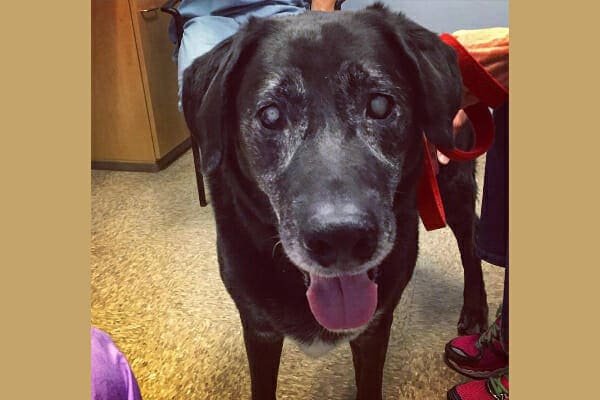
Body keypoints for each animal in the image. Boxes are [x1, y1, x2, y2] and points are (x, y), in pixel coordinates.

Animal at [182, 3, 488, 400]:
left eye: (380, 104)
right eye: (270, 115)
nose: (341, 238)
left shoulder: (374, 329)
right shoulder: (259, 328)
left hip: (455, 184)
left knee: (471, 244)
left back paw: (475, 311)